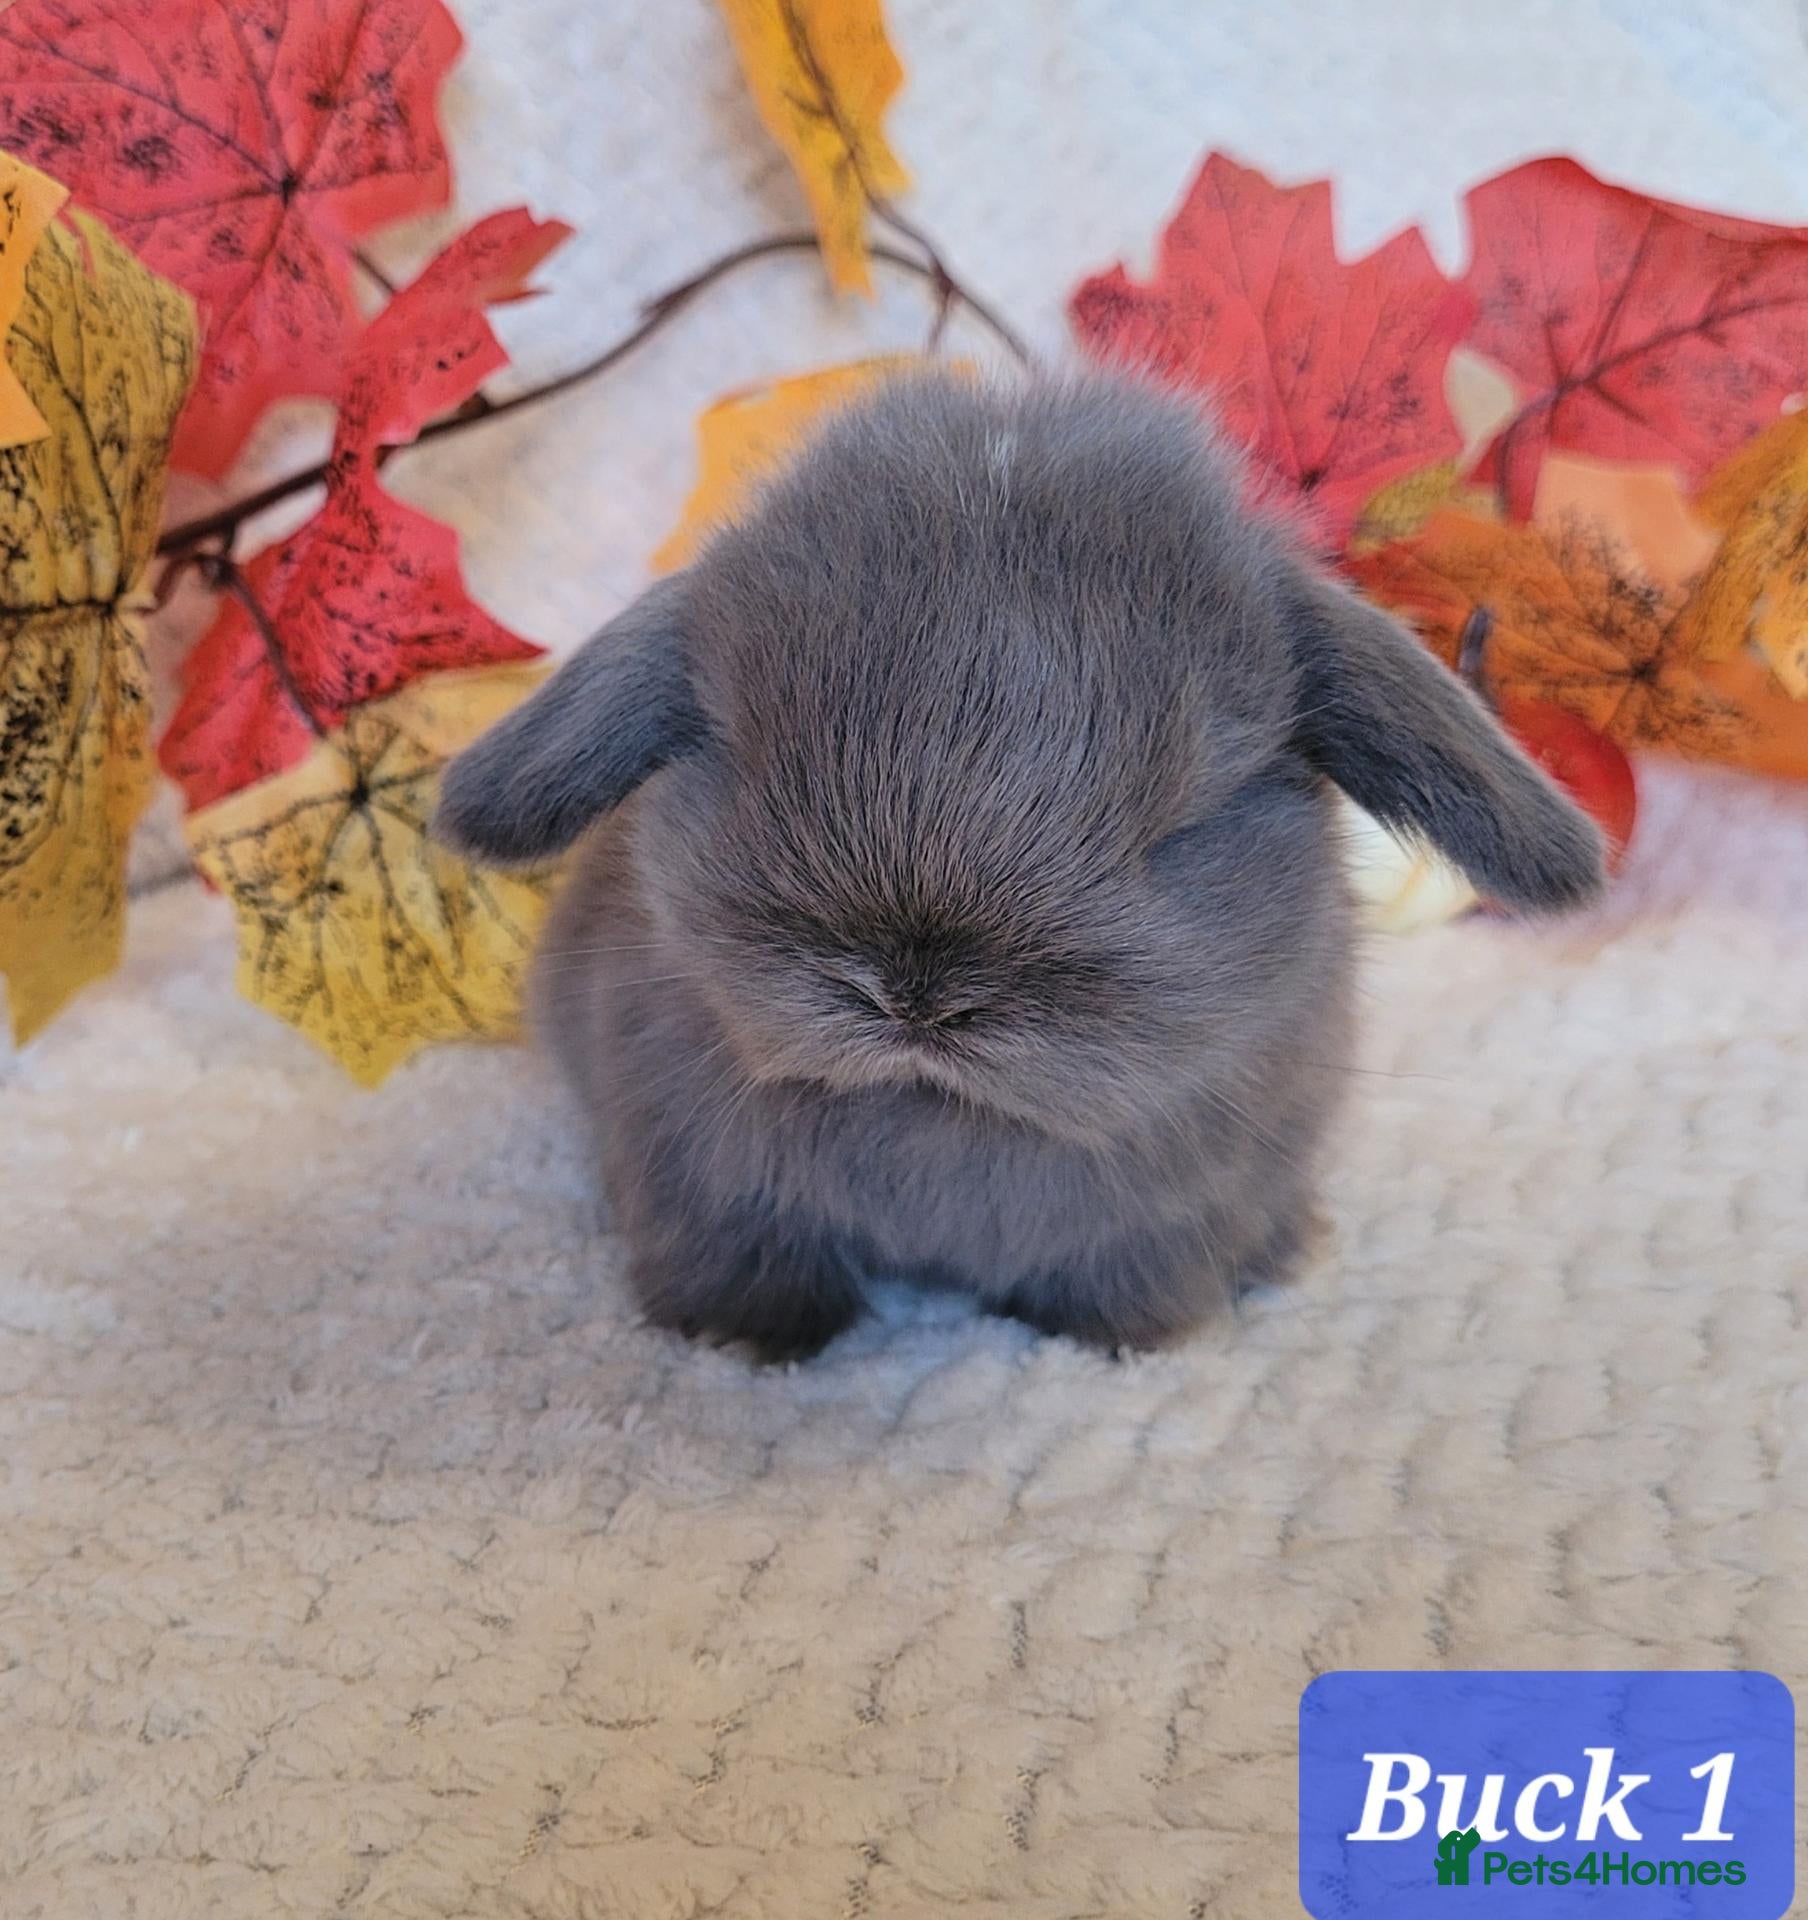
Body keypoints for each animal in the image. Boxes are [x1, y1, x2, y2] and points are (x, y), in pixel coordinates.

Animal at [436, 369, 1603, 1362]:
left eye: (1181, 822)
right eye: (742, 753)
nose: (916, 994)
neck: (941, 1117)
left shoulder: (1172, 1219)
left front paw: (1123, 1344)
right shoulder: (706, 1193)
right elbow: (750, 1267)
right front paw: (742, 1344)